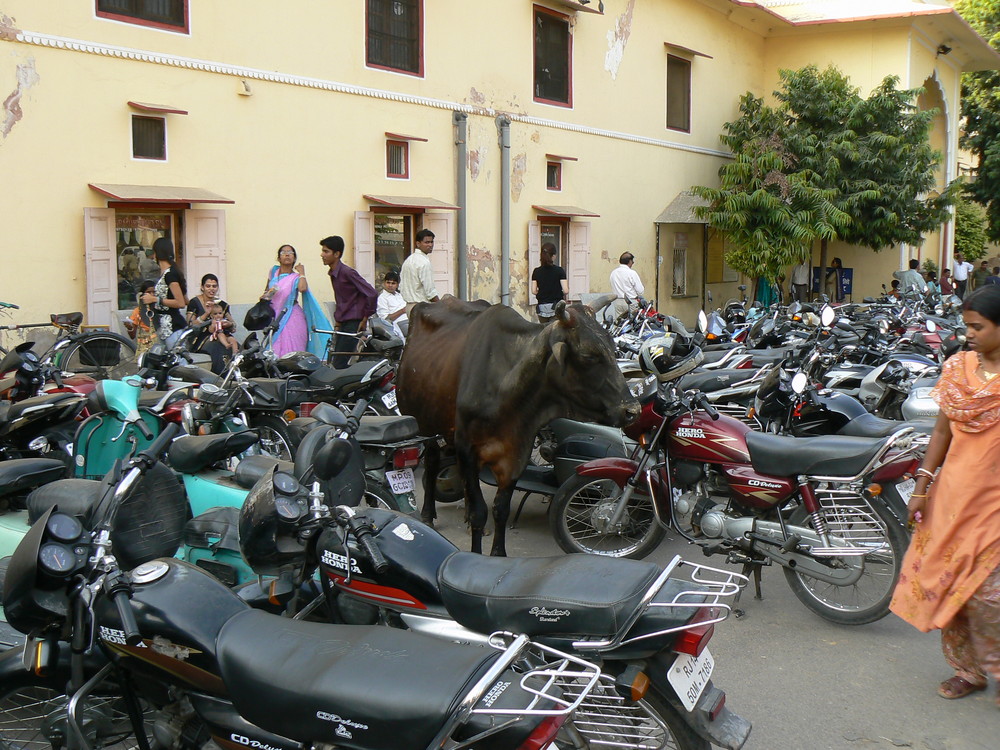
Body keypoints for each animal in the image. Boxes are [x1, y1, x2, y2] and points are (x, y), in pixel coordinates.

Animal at [394, 300, 636, 560]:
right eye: (589, 356)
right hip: (425, 425)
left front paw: (499, 554)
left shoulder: (516, 453)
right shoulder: (467, 449)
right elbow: (480, 512)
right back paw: (428, 514)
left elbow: (501, 509)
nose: (632, 410)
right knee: (431, 463)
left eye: (613, 348)